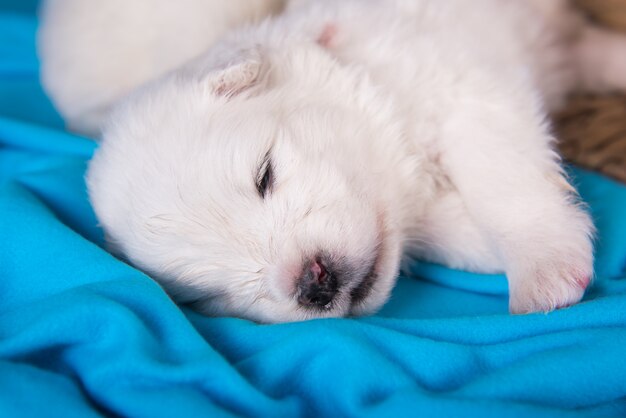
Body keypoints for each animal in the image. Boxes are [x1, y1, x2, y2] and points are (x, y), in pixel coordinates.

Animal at [42, 0, 624, 322]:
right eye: (210, 293)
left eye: (265, 174)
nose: (312, 282)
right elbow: (448, 230)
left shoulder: (468, 91)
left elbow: (500, 180)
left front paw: (543, 270)